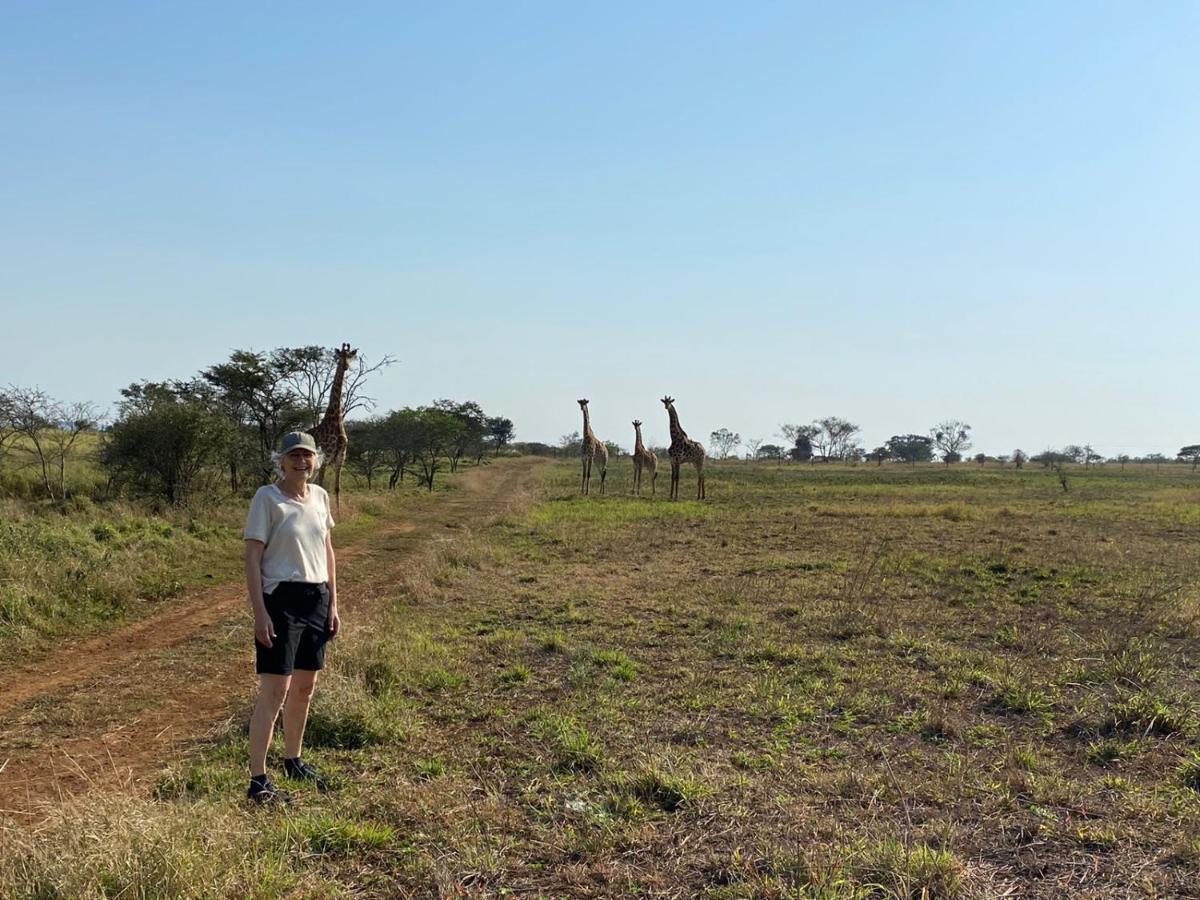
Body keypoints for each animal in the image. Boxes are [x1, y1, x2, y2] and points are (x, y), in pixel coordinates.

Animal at [304, 343, 355, 513]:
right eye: (340, 356)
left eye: (350, 356)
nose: (346, 366)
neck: (336, 419)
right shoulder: (326, 457)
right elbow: (322, 488)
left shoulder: (340, 458)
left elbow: (337, 488)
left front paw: (338, 515)